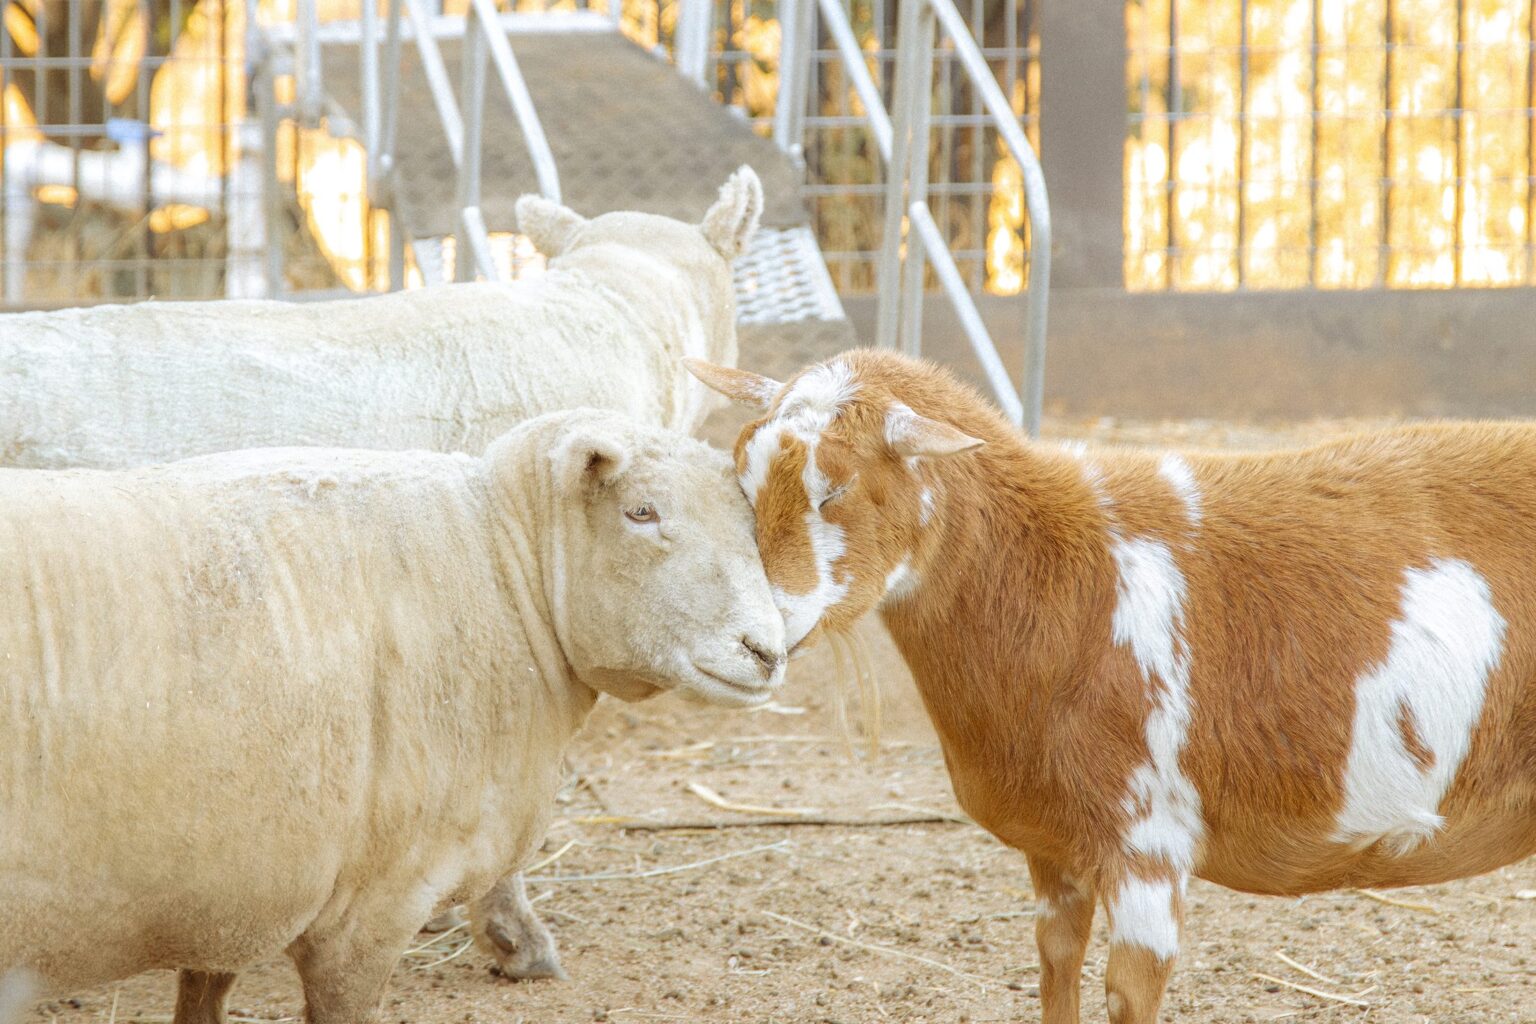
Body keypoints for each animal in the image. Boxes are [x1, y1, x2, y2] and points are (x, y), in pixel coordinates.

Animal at [0, 408, 787, 1024]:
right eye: (641, 512)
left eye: (749, 525)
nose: (768, 650)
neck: (505, 570)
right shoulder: (371, 906)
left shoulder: (236, 881)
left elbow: (203, 995)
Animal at [689, 348, 1536, 1024]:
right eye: (741, 483)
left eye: (834, 491)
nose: (759, 639)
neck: (1054, 571)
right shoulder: (1054, 846)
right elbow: (1055, 967)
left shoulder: (1147, 841)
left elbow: (1126, 996)